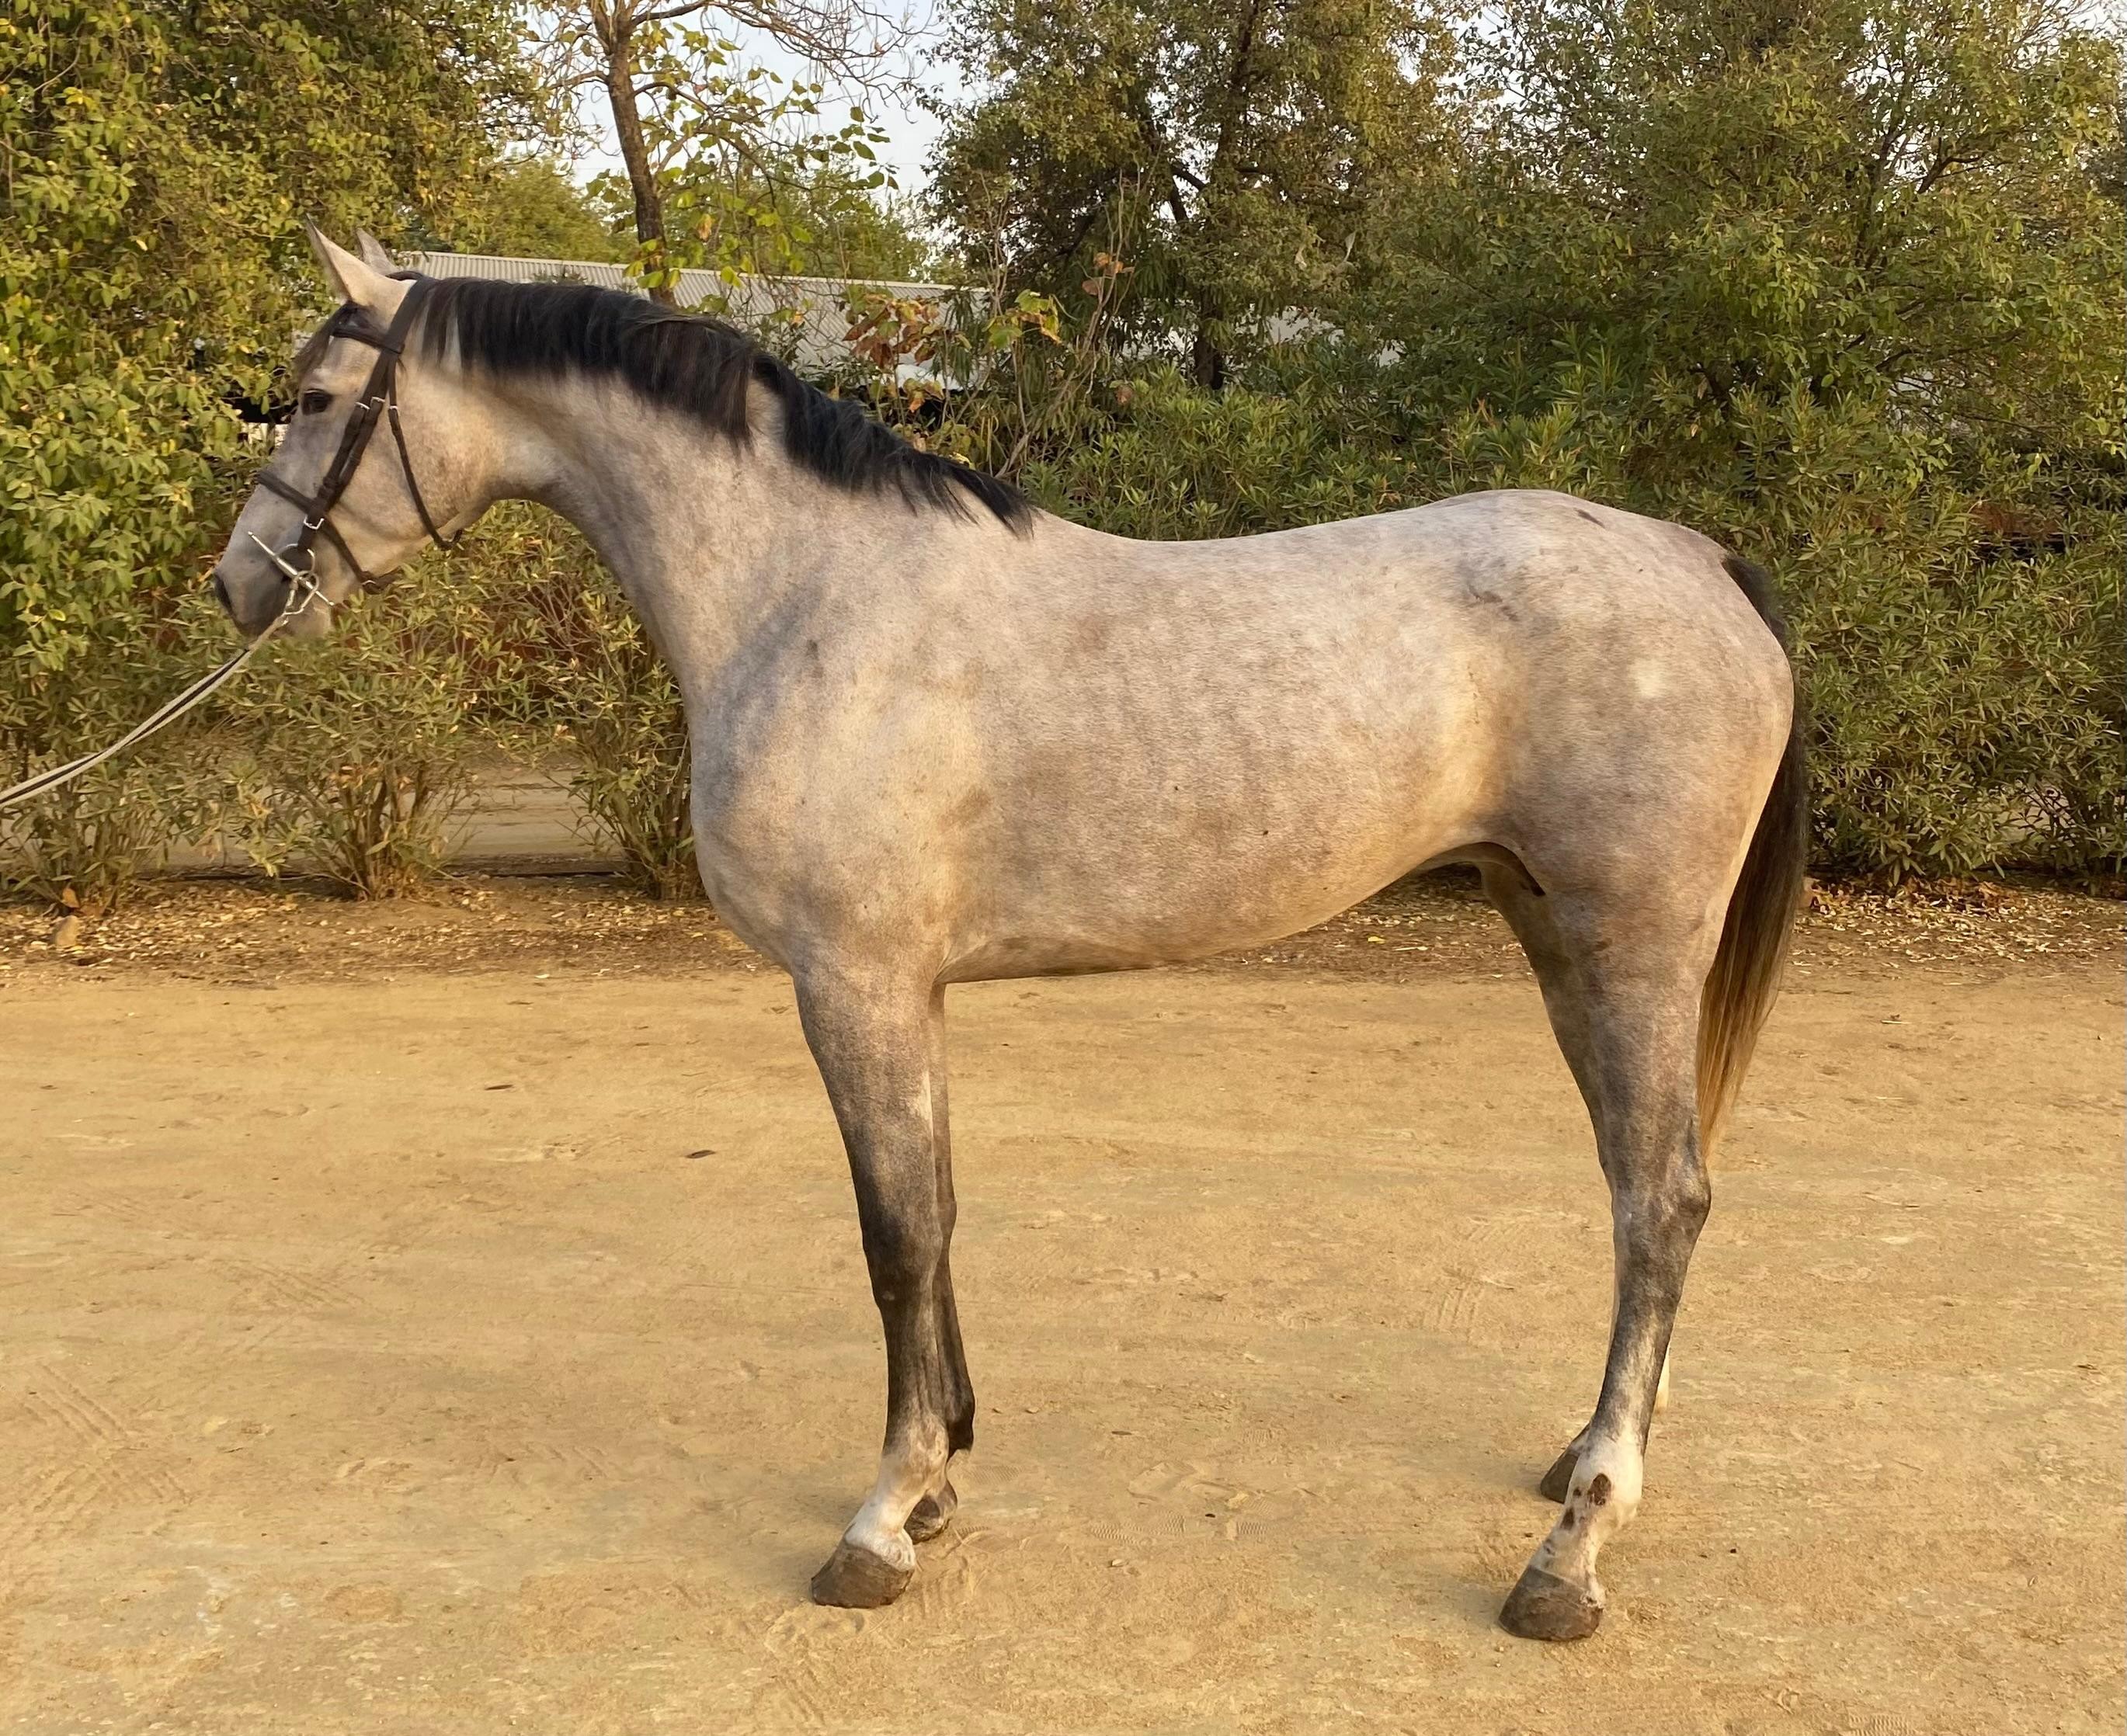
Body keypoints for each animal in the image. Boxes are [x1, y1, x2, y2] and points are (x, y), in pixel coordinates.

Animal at [208, 228, 1806, 1642]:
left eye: (315, 398)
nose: (240, 585)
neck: (804, 592)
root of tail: (1696, 557)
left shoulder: (849, 982)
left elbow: (893, 1238)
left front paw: (878, 1522)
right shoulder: (904, 990)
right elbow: (937, 1213)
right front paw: (936, 1484)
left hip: (1630, 946)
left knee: (1659, 1201)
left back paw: (1571, 1553)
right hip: (1557, 939)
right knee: (1633, 1193)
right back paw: (1588, 1456)